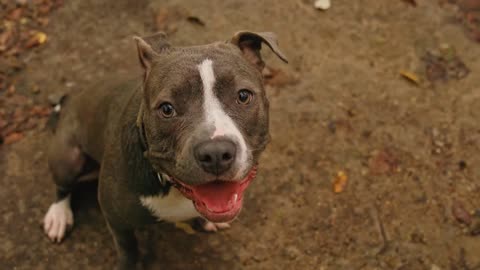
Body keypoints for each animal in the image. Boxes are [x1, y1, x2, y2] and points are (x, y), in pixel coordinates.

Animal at [43, 31, 286, 268]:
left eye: (243, 96)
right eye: (167, 109)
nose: (216, 153)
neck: (171, 186)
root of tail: (70, 101)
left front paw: (206, 221)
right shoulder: (117, 221)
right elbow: (129, 251)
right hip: (68, 158)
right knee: (62, 187)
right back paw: (58, 215)